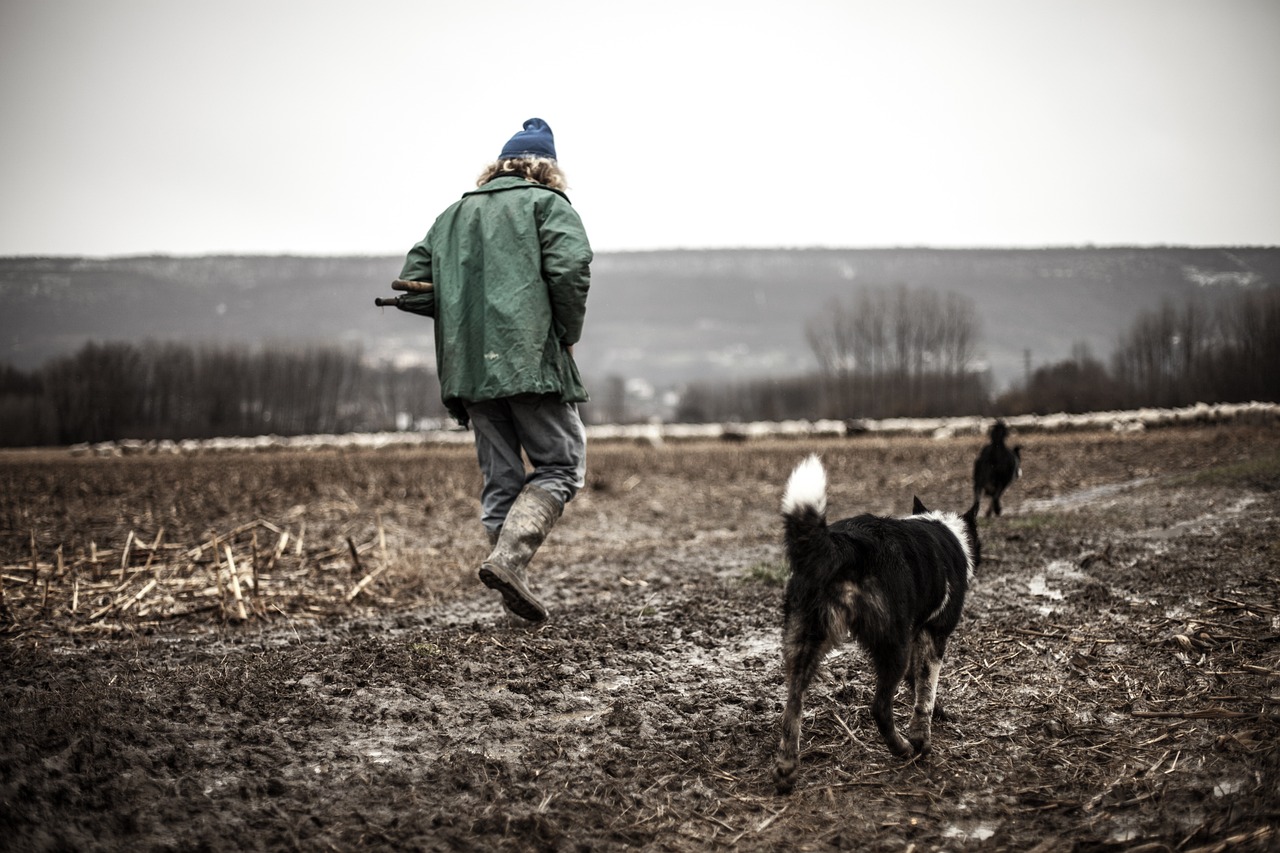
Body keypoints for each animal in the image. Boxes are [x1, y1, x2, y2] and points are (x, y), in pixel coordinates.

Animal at [768, 455, 977, 794]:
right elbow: (926, 692)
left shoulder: (917, 637)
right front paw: (922, 737)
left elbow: (917, 684)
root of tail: (844, 544)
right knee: (879, 707)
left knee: (792, 706)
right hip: (892, 646)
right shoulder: (933, 635)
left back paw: (786, 769)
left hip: (804, 641)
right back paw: (903, 749)